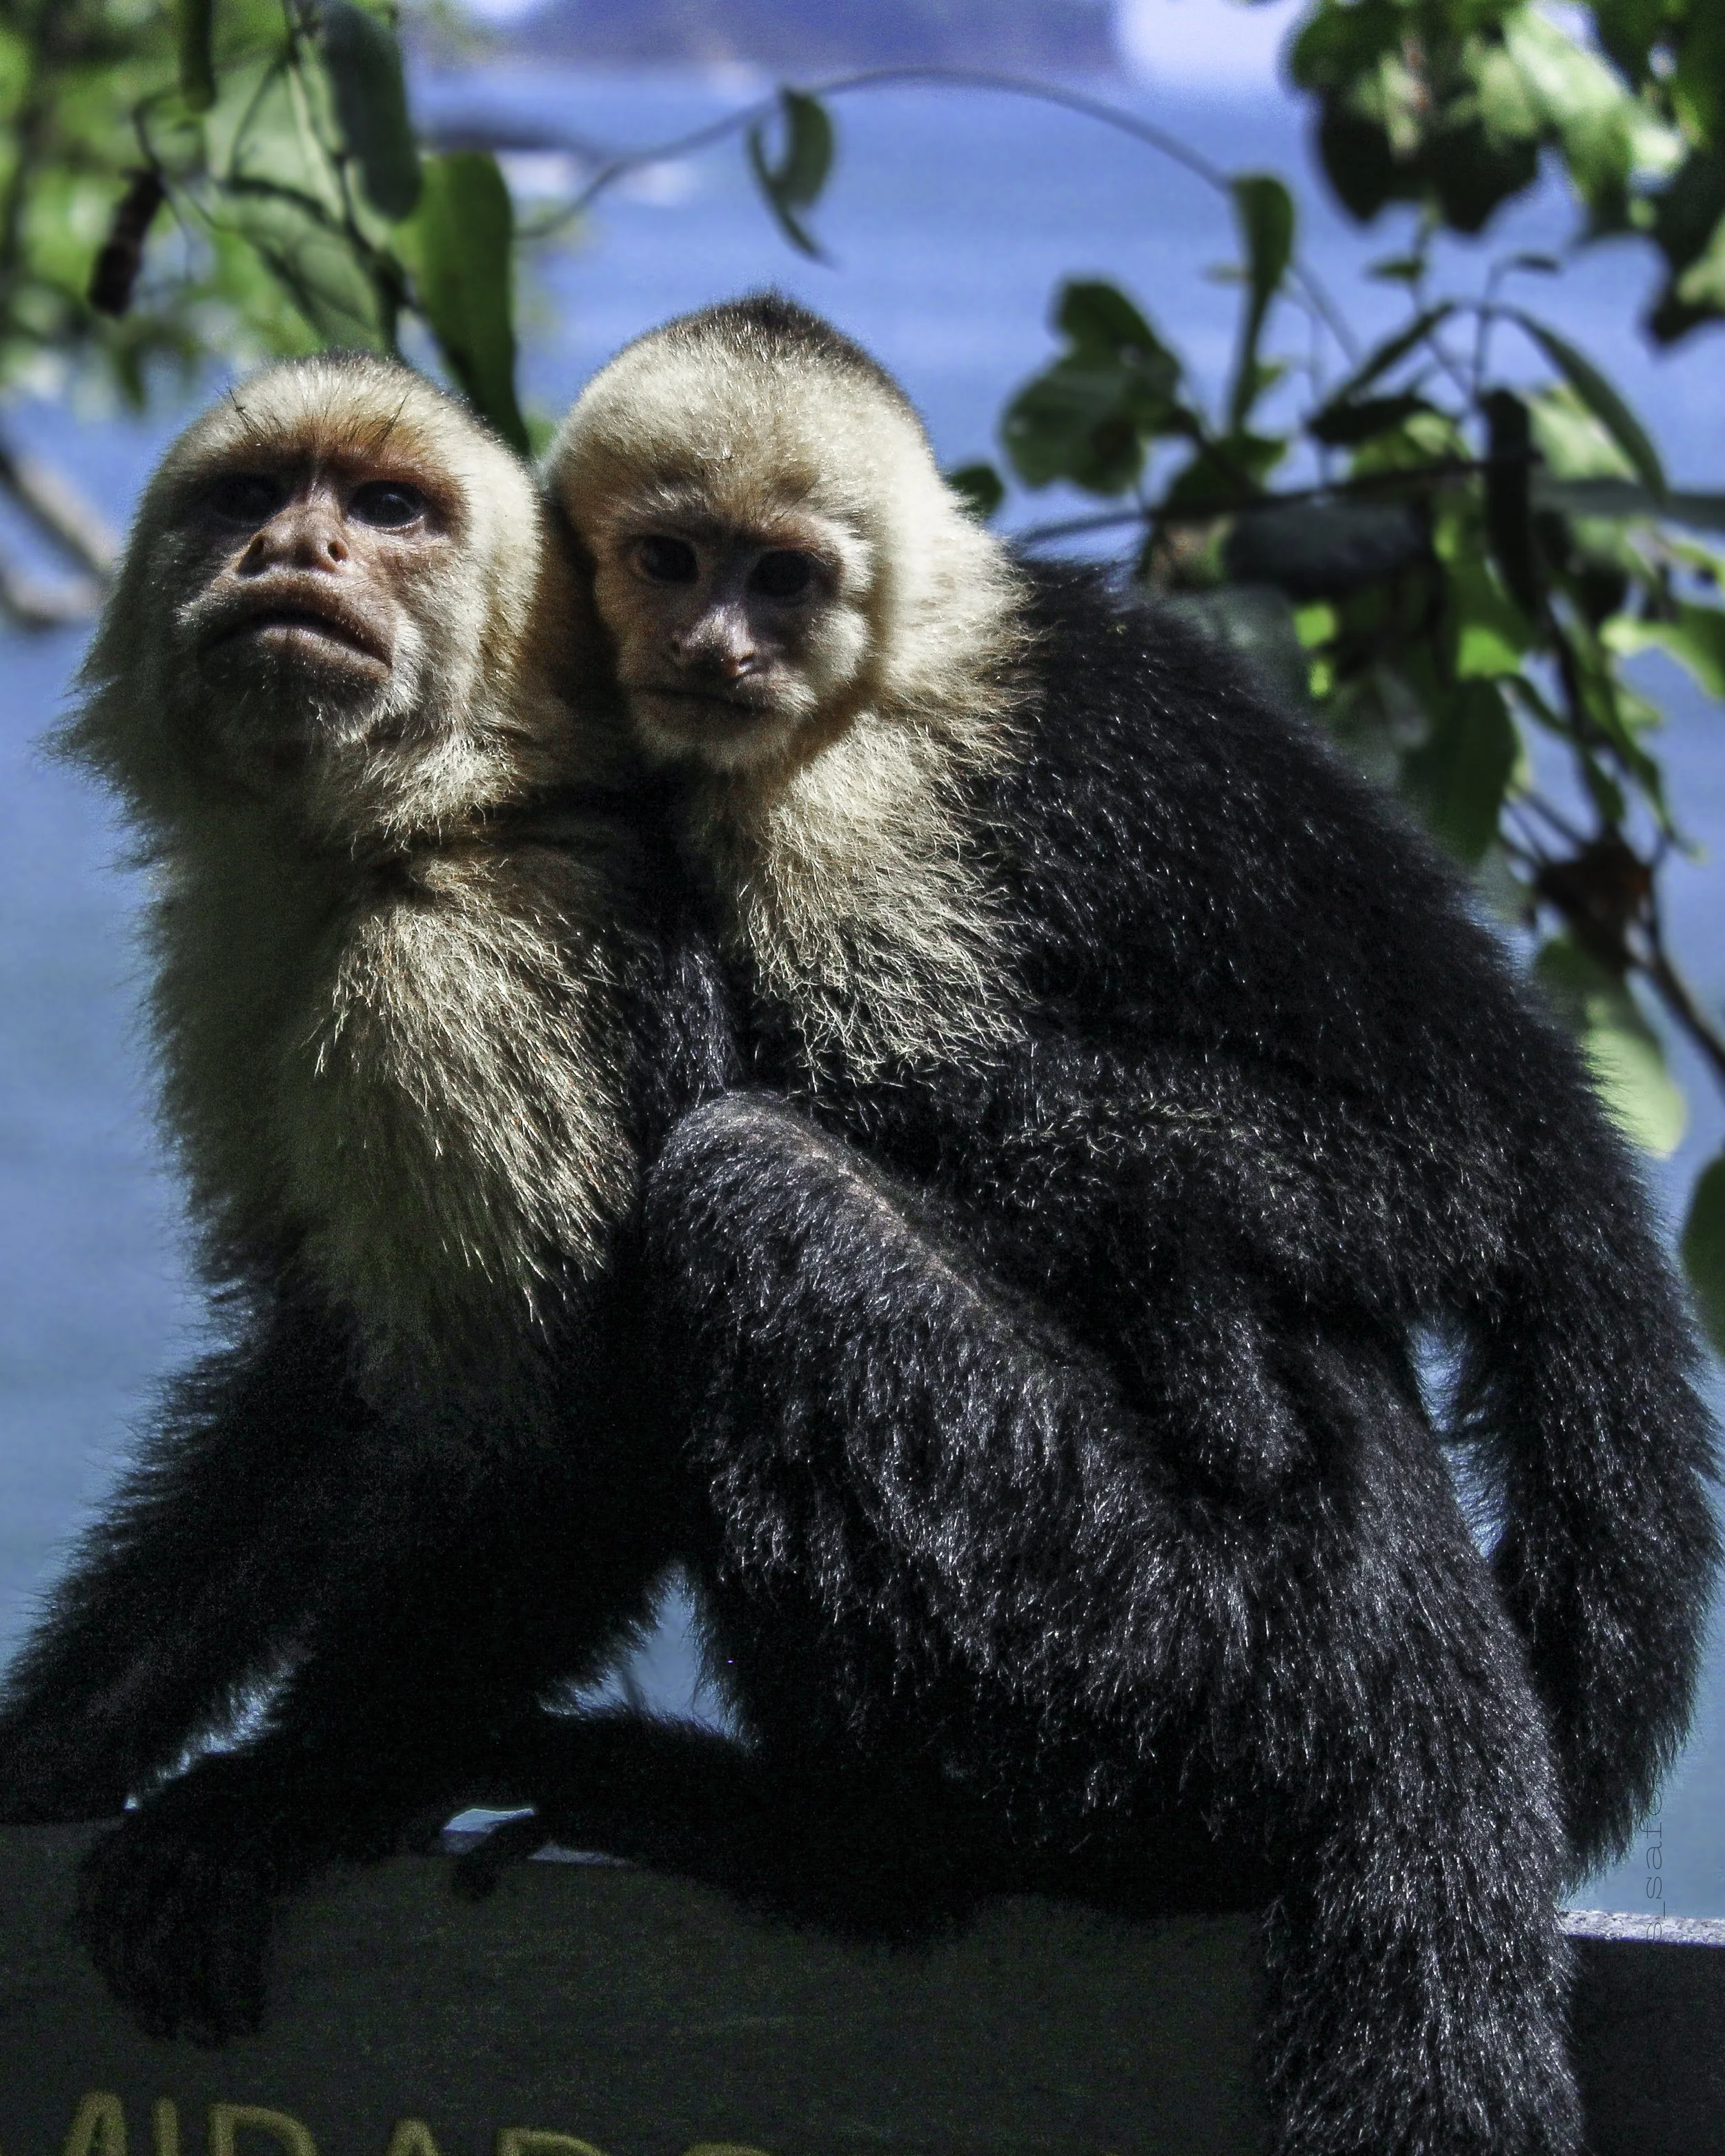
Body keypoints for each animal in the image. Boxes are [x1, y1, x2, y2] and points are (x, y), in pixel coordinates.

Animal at [0, 352, 734, 2043]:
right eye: (255, 498)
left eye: (392, 509)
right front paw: (51, 1757)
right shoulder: (248, 952)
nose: (298, 552)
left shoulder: (462, 979)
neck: (429, 826)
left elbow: (570, 1431)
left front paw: (271, 1800)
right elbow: (323, 1376)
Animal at [507, 294, 1720, 2156]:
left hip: (1181, 1649)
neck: (882, 701)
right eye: (666, 558)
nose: (716, 646)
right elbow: (1470, 1147)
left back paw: (852, 1851)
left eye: (783, 578)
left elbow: (1476, 1143)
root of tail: (1428, 1684)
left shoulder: (986, 741)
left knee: (751, 1196)